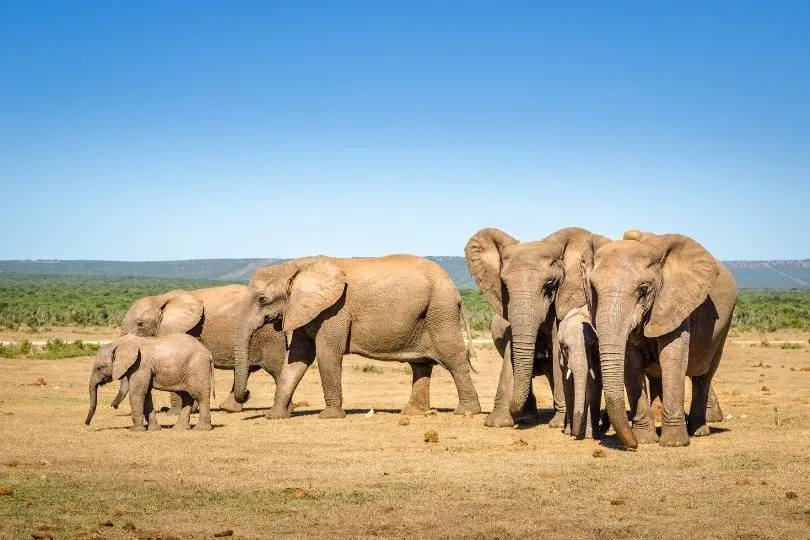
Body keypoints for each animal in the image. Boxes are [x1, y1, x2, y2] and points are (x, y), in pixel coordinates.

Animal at [85, 334, 213, 430]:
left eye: (99, 368)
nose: (87, 424)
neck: (120, 344)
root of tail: (208, 353)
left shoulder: (140, 365)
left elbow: (137, 393)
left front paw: (135, 430)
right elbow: (146, 394)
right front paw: (154, 429)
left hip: (197, 367)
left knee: (200, 395)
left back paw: (201, 429)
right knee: (187, 397)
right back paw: (179, 429)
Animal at [118, 284, 286, 412]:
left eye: (140, 324)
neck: (160, 298)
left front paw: (173, 412)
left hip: (270, 336)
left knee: (277, 370)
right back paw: (228, 408)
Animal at [230, 254, 476, 418]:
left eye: (262, 299)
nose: (247, 393)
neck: (295, 266)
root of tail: (455, 290)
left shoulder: (334, 310)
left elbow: (326, 354)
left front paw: (329, 416)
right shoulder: (305, 309)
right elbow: (297, 358)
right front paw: (274, 416)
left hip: (440, 311)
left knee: (453, 359)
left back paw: (466, 411)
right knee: (420, 364)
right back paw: (412, 412)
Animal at [560, 308, 604, 438]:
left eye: (592, 347)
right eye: (566, 348)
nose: (575, 433)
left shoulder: (595, 357)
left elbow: (592, 386)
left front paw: (589, 436)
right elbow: (568, 387)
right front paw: (568, 432)